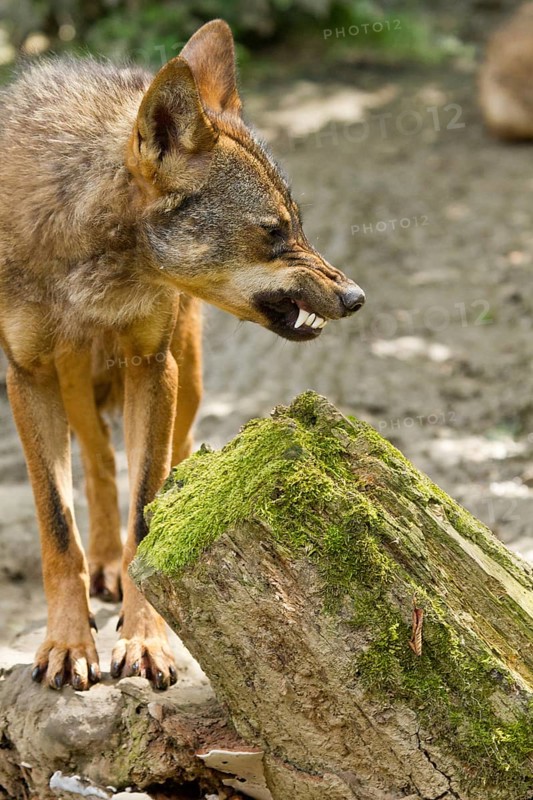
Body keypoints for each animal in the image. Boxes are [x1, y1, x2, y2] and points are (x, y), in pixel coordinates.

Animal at [0, 20, 365, 690]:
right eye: (274, 233)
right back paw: (104, 568)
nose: (356, 297)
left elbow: (146, 514)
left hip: (185, 378)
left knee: (172, 457)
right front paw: (67, 644)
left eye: (298, 227)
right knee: (97, 466)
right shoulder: (27, 377)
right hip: (74, 384)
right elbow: (58, 529)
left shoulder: (153, 368)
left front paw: (147, 640)